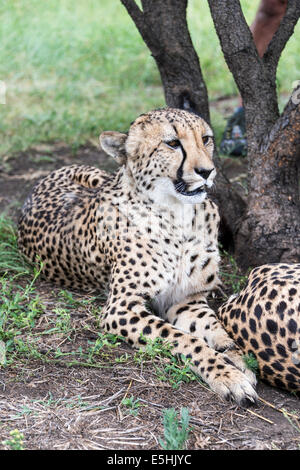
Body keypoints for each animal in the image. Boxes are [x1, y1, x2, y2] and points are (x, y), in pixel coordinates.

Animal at [18, 106, 258, 404]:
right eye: (172, 143)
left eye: (206, 139)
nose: (206, 171)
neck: (179, 216)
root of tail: (40, 182)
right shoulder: (121, 307)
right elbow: (183, 339)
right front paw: (226, 374)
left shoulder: (185, 299)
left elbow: (215, 330)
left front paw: (237, 358)